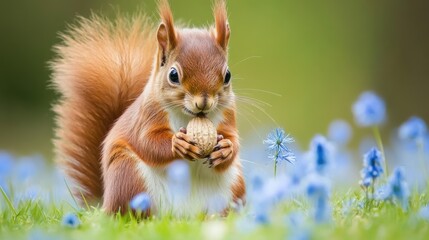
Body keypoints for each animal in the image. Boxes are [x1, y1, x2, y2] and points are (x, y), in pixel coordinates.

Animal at [50, 0, 244, 217]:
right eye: (173, 75)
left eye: (227, 75)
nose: (204, 102)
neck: (192, 117)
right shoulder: (147, 115)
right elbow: (147, 141)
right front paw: (179, 144)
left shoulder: (228, 115)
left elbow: (233, 137)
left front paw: (226, 148)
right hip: (128, 176)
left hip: (234, 188)